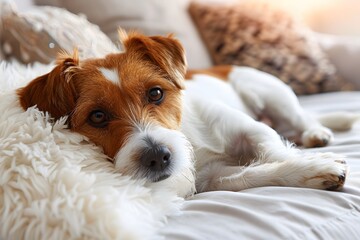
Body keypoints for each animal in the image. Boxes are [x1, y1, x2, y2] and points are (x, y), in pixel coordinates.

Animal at [15, 31, 356, 198]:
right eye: (97, 116)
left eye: (155, 93)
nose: (157, 157)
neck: (192, 139)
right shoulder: (213, 178)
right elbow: (252, 173)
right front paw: (312, 171)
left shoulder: (251, 129)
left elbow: (274, 150)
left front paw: (314, 162)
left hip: (275, 96)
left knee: (300, 120)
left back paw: (316, 133)